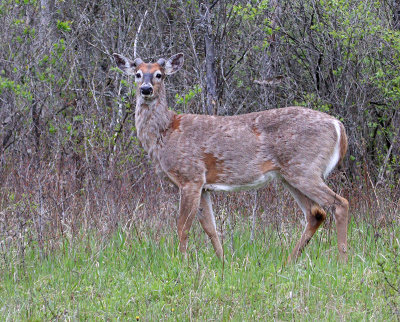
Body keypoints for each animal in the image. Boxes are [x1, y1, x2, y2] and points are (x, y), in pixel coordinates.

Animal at [113, 52, 350, 262]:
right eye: (137, 73)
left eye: (159, 74)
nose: (146, 89)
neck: (166, 133)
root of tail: (338, 126)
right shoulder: (204, 186)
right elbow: (210, 228)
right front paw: (223, 261)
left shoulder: (190, 176)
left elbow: (183, 226)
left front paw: (182, 262)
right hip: (290, 175)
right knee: (316, 213)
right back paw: (289, 262)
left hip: (304, 168)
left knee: (340, 204)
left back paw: (342, 261)